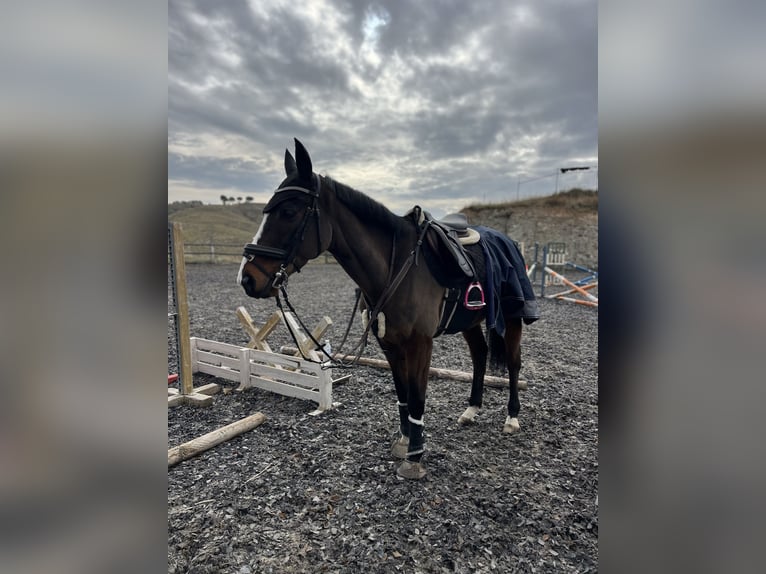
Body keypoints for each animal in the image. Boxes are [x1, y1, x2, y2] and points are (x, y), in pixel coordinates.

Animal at [238, 139, 538, 480]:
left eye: (288, 212)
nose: (248, 278)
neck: (396, 269)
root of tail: (508, 240)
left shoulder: (420, 343)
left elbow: (418, 398)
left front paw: (415, 457)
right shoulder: (389, 344)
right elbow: (403, 394)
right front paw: (404, 442)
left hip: (513, 318)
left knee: (513, 363)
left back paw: (512, 418)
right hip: (471, 321)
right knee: (480, 355)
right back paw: (472, 409)